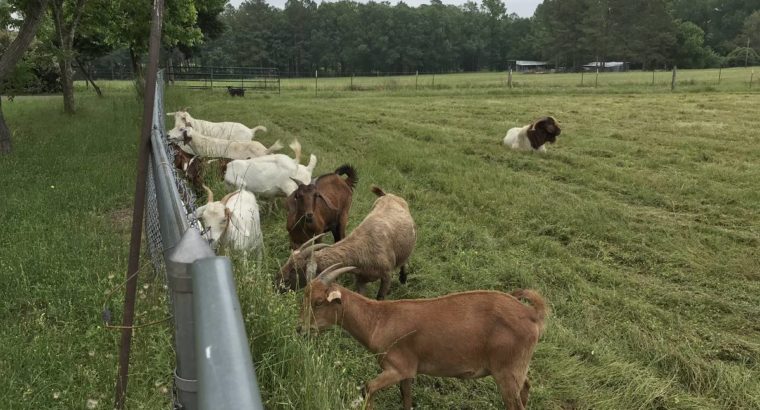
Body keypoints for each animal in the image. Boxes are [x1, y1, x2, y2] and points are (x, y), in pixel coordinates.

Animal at [276, 186, 415, 299]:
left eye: (295, 270)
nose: (277, 284)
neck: (363, 245)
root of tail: (388, 195)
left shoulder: (386, 276)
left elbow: (380, 297)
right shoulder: (360, 280)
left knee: (404, 260)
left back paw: (403, 278)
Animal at [298, 264, 547, 410]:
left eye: (318, 302)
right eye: (305, 295)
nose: (300, 329)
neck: (379, 320)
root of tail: (532, 314)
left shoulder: (397, 368)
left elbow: (368, 387)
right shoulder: (408, 371)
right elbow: (406, 398)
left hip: (506, 372)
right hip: (516, 369)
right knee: (526, 387)